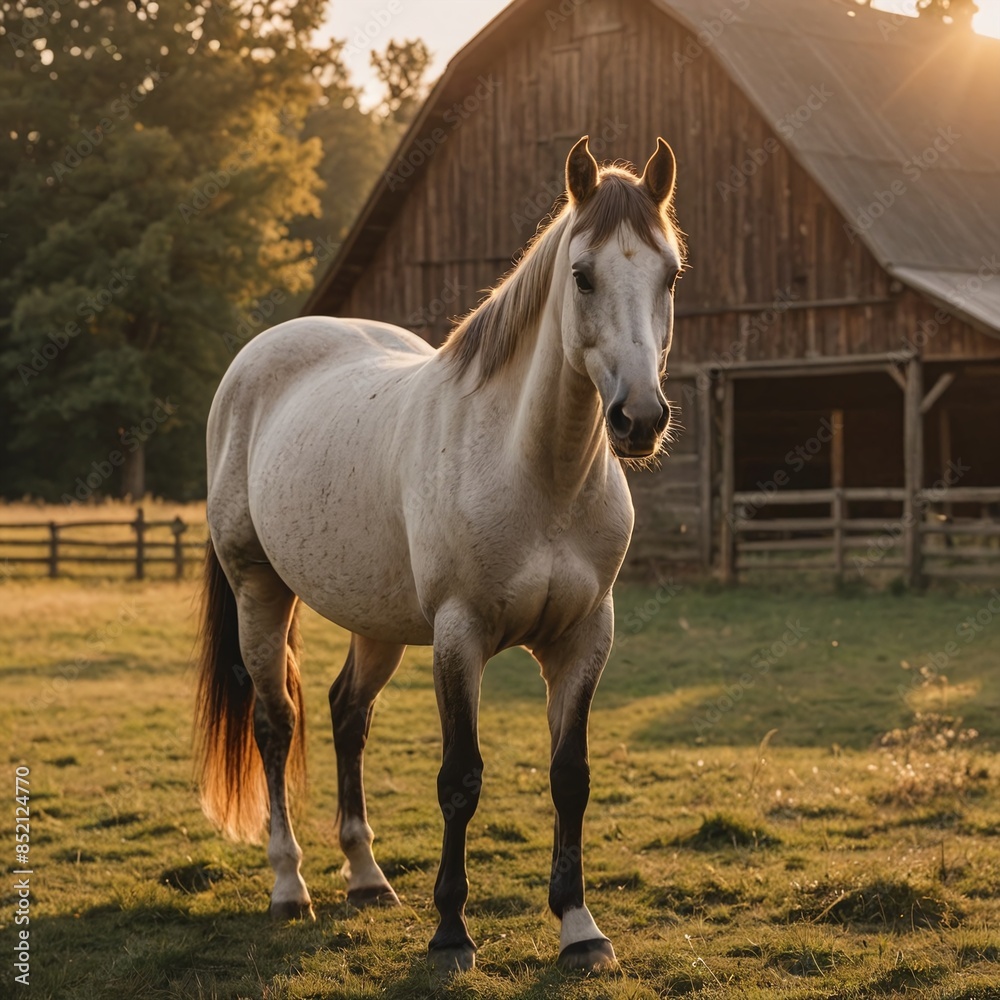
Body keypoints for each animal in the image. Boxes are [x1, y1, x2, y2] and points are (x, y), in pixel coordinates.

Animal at [195, 135, 685, 974]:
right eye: (583, 275)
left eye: (670, 274)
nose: (639, 420)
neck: (538, 474)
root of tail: (252, 364)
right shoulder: (461, 636)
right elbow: (461, 779)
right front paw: (452, 933)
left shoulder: (585, 636)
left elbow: (570, 777)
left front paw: (580, 928)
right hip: (260, 591)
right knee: (275, 723)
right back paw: (291, 886)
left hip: (376, 620)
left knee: (347, 713)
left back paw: (366, 877)